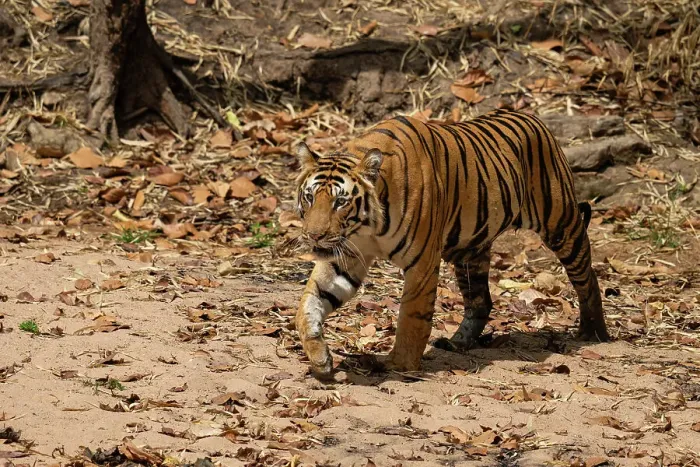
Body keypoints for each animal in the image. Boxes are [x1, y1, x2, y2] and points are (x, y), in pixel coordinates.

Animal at [293, 108, 609, 377]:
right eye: (309, 197)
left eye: (340, 202)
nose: (314, 235)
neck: (367, 227)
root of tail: (535, 118)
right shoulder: (344, 255)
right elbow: (309, 303)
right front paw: (319, 357)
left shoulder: (421, 262)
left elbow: (412, 315)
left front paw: (399, 364)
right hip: (471, 251)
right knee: (481, 301)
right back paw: (458, 342)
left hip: (562, 224)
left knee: (587, 278)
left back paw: (593, 333)